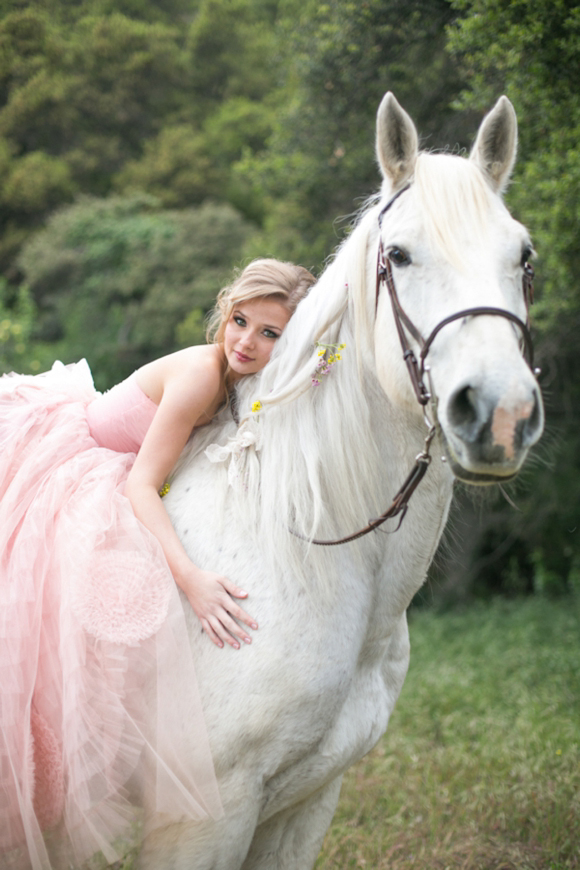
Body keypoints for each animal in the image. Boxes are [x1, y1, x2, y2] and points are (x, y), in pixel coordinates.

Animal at [145, 92, 544, 868]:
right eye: (399, 255)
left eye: (523, 257)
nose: (501, 414)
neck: (292, 548)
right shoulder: (204, 821)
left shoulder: (304, 804)